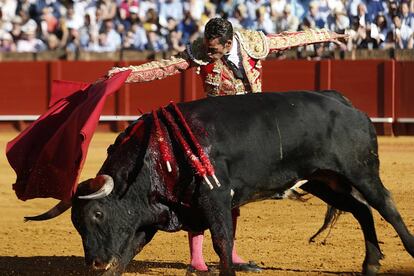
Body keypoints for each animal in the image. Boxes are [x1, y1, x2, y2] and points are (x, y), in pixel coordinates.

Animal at [25, 90, 414, 274]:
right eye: (76, 224)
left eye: (97, 215)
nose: (93, 262)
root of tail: (343, 102)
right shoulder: (151, 214)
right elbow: (124, 256)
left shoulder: (215, 198)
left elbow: (222, 243)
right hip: (322, 180)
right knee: (361, 211)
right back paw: (370, 264)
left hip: (360, 171)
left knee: (386, 206)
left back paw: (405, 250)